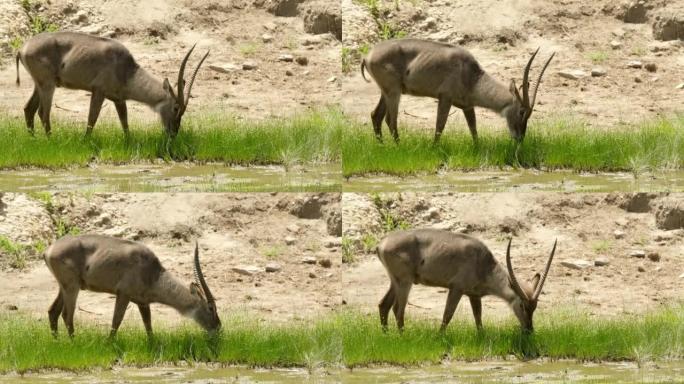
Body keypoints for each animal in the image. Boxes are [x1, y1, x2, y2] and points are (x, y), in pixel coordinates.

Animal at [15, 31, 208, 136]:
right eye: (176, 107)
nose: (173, 133)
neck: (127, 70)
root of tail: (22, 48)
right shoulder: (98, 91)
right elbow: (92, 119)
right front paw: (85, 141)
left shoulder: (118, 100)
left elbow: (125, 123)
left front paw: (129, 142)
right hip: (47, 85)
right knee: (43, 112)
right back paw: (51, 140)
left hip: (40, 85)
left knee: (28, 108)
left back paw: (33, 139)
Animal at [44, 236, 220, 338]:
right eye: (211, 307)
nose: (218, 326)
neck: (153, 273)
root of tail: (48, 250)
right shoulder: (123, 294)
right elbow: (116, 321)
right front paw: (109, 344)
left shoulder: (143, 303)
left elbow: (148, 325)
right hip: (71, 287)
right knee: (67, 315)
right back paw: (73, 343)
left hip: (64, 287)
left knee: (53, 311)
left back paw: (57, 342)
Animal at [360, 39, 552, 142]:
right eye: (521, 111)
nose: (520, 138)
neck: (471, 76)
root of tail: (367, 56)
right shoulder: (445, 98)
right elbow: (440, 125)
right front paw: (434, 148)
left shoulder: (467, 106)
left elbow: (473, 128)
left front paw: (478, 148)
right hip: (393, 92)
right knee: (390, 120)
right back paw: (399, 147)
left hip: (387, 92)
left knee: (376, 116)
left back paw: (382, 146)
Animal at [380, 228, 556, 332]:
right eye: (522, 305)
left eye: (534, 307)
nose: (529, 329)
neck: (483, 263)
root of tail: (381, 244)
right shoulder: (456, 289)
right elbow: (447, 315)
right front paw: (439, 337)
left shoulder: (474, 295)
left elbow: (478, 319)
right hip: (405, 281)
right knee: (398, 310)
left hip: (395, 281)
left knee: (384, 305)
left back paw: (386, 335)